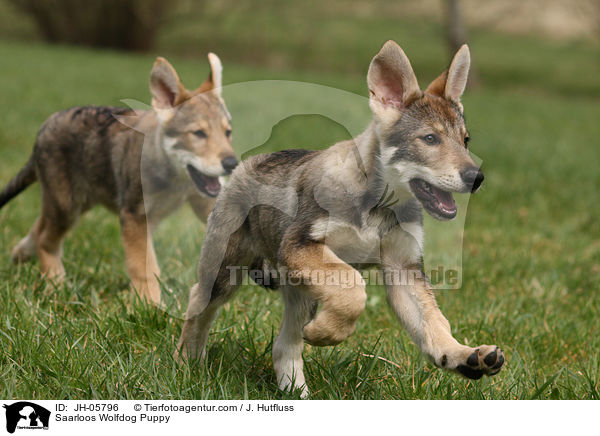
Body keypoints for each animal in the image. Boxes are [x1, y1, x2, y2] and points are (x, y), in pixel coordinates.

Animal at [0, 52, 238, 304]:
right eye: (199, 134)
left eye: (227, 133)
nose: (231, 163)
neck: (176, 181)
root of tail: (44, 127)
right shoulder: (134, 216)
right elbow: (144, 269)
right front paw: (151, 306)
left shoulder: (203, 202)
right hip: (67, 206)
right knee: (46, 238)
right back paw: (55, 282)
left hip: (73, 203)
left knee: (39, 227)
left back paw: (21, 255)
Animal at [177, 41, 502, 398]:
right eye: (430, 139)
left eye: (465, 140)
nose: (476, 178)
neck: (379, 207)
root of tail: (246, 165)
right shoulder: (301, 245)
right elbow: (354, 286)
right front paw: (327, 334)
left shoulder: (403, 271)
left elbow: (434, 323)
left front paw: (461, 354)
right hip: (225, 273)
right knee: (197, 306)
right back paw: (187, 365)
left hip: (301, 292)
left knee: (283, 345)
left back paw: (296, 391)